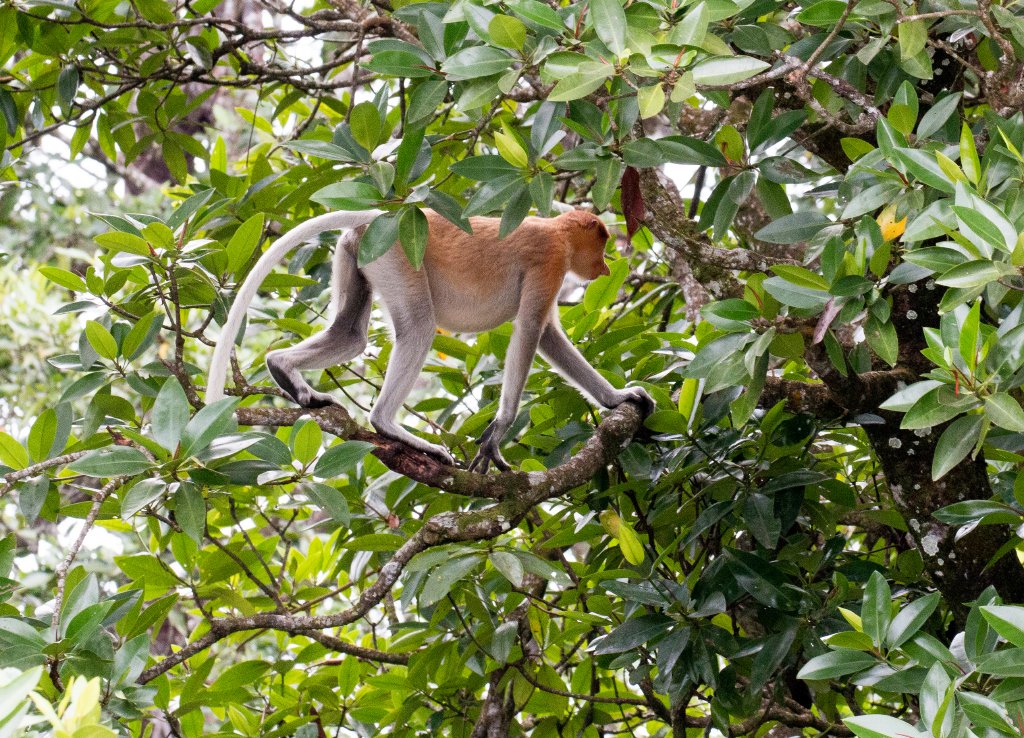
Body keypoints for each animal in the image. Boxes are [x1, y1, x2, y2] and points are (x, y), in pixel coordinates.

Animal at [206, 207, 654, 472]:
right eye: (601, 243)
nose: (605, 267)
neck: (556, 228)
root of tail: (378, 215)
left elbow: (547, 337)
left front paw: (621, 398)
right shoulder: (550, 261)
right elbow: (530, 331)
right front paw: (497, 433)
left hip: (359, 254)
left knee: (350, 334)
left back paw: (286, 371)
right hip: (398, 255)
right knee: (420, 327)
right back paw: (389, 426)